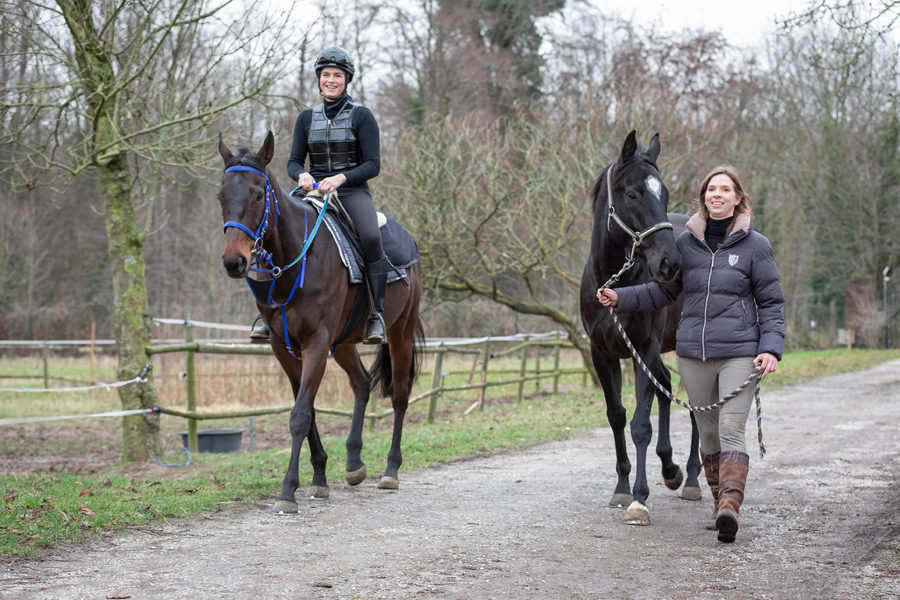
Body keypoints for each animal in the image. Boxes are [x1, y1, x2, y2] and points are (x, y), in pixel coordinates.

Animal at [220, 130, 428, 510]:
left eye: (258, 194)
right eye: (221, 195)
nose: (234, 261)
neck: (297, 261)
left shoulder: (315, 343)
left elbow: (300, 415)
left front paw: (288, 491)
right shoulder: (284, 348)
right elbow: (309, 410)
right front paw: (318, 478)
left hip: (400, 333)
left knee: (400, 396)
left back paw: (391, 470)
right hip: (343, 342)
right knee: (362, 383)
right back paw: (354, 463)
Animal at [580, 130, 700, 524]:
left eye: (664, 193)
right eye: (632, 194)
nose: (670, 263)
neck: (615, 283)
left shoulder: (643, 349)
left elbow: (640, 425)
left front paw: (640, 497)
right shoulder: (602, 353)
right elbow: (617, 417)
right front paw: (621, 488)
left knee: (696, 404)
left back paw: (691, 477)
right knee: (666, 386)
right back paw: (671, 467)